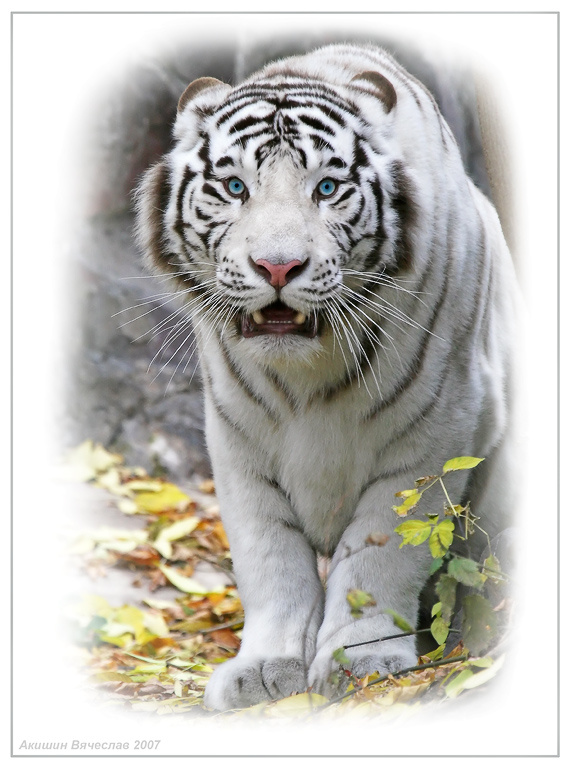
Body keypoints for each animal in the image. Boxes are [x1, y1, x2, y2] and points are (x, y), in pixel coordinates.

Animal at [134, 42, 518, 710]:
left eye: (328, 188)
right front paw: (265, 667)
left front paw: (361, 663)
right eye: (235, 187)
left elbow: (381, 552)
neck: (306, 374)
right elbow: (270, 558)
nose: (277, 265)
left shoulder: (434, 432)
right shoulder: (237, 443)